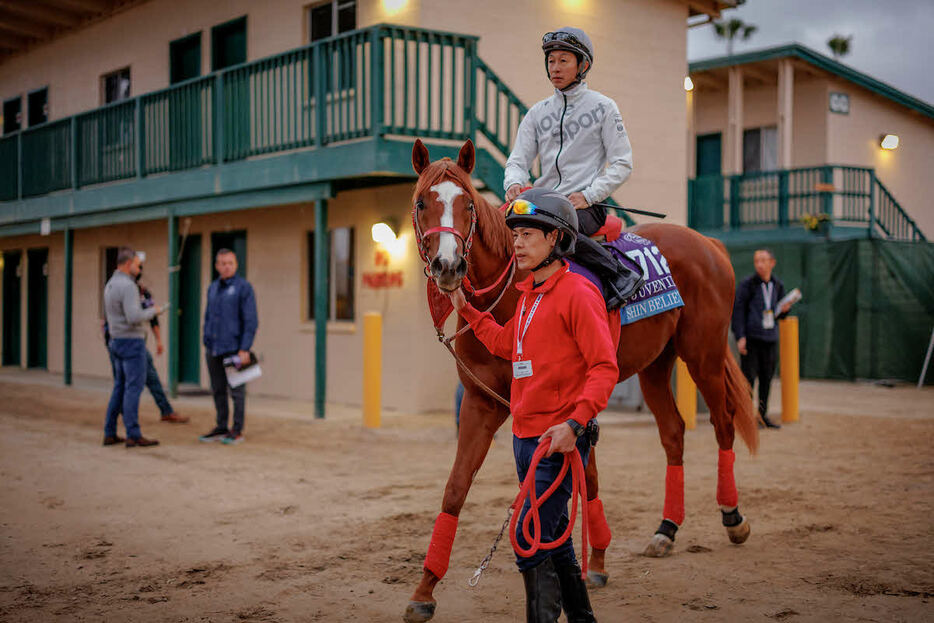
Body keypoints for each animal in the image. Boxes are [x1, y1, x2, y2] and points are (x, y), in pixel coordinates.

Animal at [402, 139, 760, 620]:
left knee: (722, 423)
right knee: (673, 433)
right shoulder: (483, 403)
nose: (447, 265)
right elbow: (456, 489)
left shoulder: (564, 408)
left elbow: (581, 478)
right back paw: (666, 530)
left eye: (467, 204)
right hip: (656, 366)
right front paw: (424, 589)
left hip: (702, 354)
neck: (519, 292)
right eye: (423, 202)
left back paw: (732, 517)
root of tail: (709, 244)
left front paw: (598, 561)